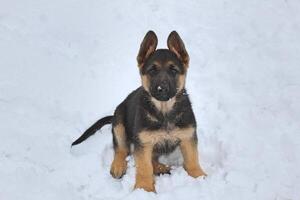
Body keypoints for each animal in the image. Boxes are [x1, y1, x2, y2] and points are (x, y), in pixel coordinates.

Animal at [72, 30, 206, 192]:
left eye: (173, 70)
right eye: (152, 70)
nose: (162, 89)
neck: (164, 112)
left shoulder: (188, 137)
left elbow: (192, 160)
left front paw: (199, 176)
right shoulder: (143, 143)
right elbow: (144, 166)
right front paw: (145, 188)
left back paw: (160, 167)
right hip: (119, 122)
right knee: (122, 149)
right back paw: (118, 166)